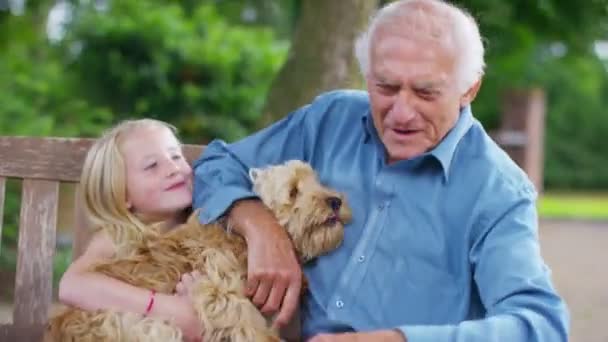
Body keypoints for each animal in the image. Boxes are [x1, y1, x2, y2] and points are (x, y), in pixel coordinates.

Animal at [45, 161, 352, 342]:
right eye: (293, 191)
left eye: (317, 181)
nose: (335, 201)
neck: (241, 240)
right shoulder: (223, 296)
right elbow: (248, 326)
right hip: (158, 329)